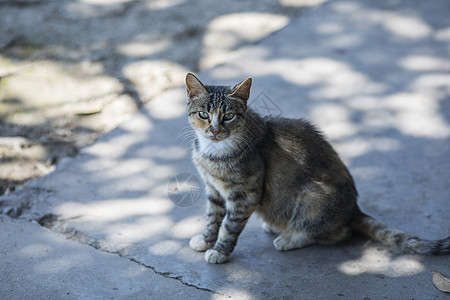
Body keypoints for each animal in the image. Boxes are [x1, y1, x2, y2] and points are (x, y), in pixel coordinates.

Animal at [184, 74, 450, 264]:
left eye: (228, 116)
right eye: (203, 114)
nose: (215, 130)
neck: (213, 152)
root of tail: (354, 210)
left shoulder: (245, 196)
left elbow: (229, 226)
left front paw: (220, 251)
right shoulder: (213, 190)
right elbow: (213, 218)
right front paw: (206, 240)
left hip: (312, 196)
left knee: (335, 233)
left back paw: (289, 238)